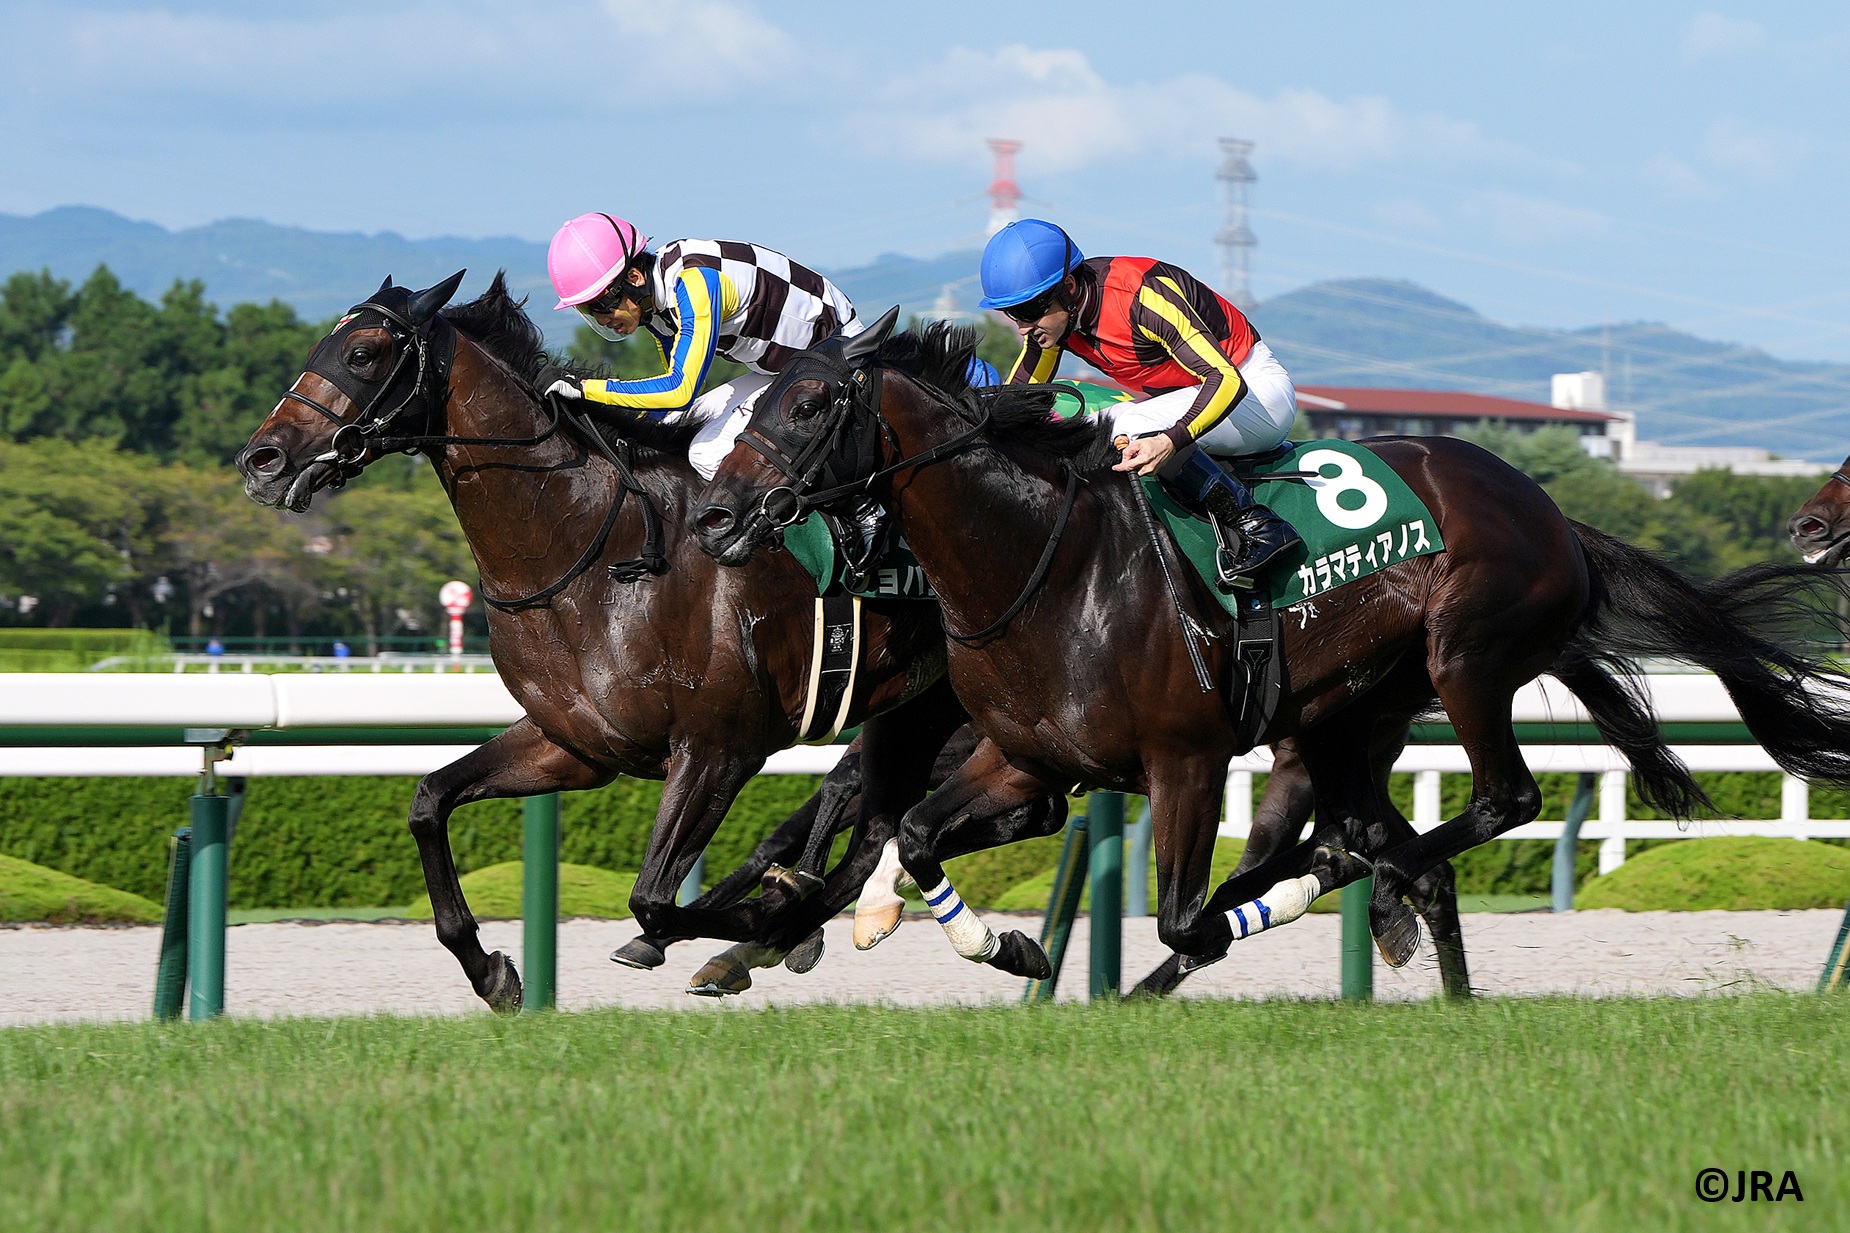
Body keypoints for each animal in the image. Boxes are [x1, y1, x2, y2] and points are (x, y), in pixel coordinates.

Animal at [236, 271, 1006, 1008]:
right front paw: (490, 972)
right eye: (320, 347)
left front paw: (768, 917)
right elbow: (430, 801)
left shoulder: (719, 750)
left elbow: (655, 900)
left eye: (363, 354)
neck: (593, 553)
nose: (262, 459)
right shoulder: (576, 745)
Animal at [695, 318, 1850, 988]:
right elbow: (918, 835)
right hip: (1354, 715)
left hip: (1465, 656)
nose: (713, 519)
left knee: (1491, 804)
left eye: (808, 406)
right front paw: (1001, 943)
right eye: (753, 403)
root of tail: (1551, 511)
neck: (1042, 564)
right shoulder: (1022, 760)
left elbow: (1175, 917)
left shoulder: (1184, 760)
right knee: (1388, 843)